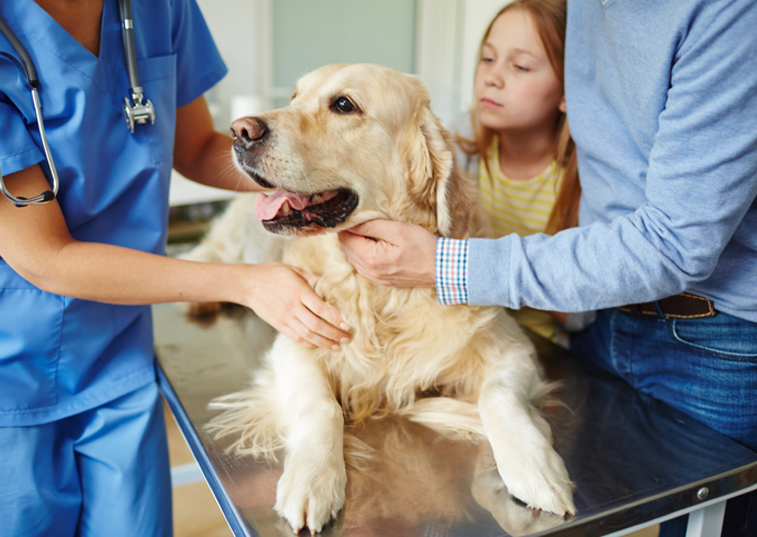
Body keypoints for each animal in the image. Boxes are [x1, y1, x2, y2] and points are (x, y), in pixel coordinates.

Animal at [188, 62, 572, 532]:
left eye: (343, 104)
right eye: (295, 96)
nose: (239, 131)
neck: (378, 294)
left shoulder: (512, 347)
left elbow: (497, 396)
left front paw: (535, 468)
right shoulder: (295, 342)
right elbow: (322, 406)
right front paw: (313, 478)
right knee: (207, 253)